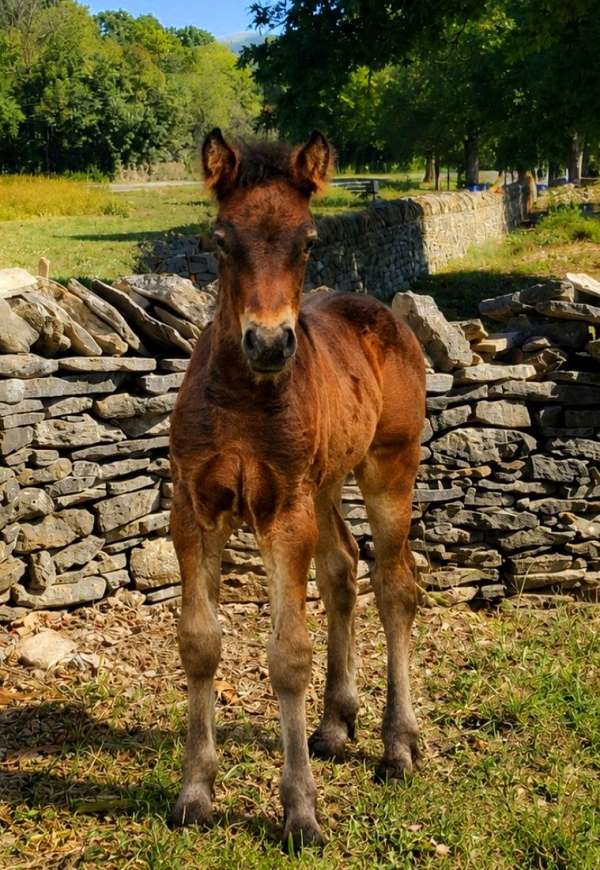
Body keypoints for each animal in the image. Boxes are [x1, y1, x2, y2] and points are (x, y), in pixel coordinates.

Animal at [169, 128, 426, 848]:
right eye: (220, 239)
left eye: (309, 240)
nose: (268, 343)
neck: (242, 399)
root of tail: (382, 313)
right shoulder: (194, 510)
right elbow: (200, 643)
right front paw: (195, 793)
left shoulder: (282, 512)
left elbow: (287, 656)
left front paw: (300, 812)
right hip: (325, 482)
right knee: (342, 567)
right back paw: (337, 724)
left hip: (388, 468)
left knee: (395, 588)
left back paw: (398, 745)